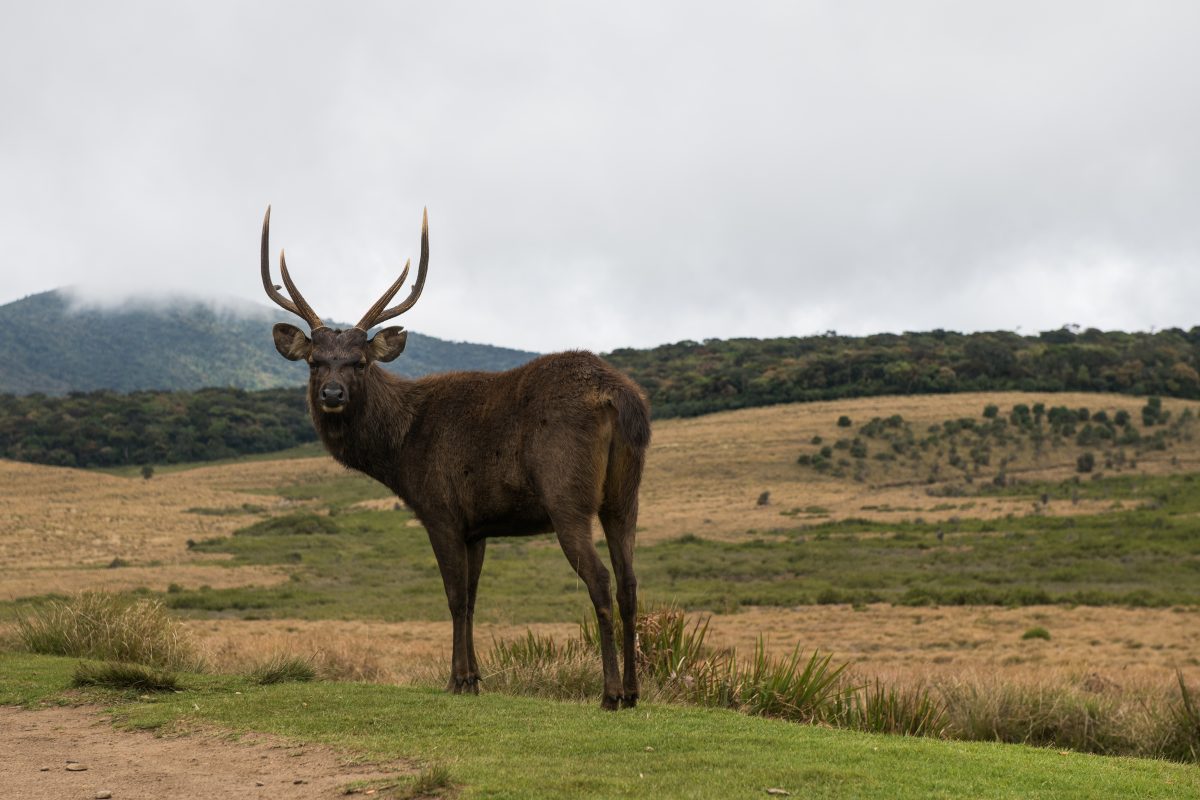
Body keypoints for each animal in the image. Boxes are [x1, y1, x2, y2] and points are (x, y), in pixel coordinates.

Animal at [260, 207, 650, 709]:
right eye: (314, 361)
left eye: (359, 362)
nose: (332, 394)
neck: (399, 450)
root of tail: (619, 396)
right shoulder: (477, 524)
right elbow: (473, 595)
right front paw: (475, 678)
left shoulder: (440, 509)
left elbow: (454, 596)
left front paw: (456, 679)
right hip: (625, 494)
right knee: (630, 582)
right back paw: (636, 691)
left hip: (568, 495)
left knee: (600, 580)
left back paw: (610, 693)